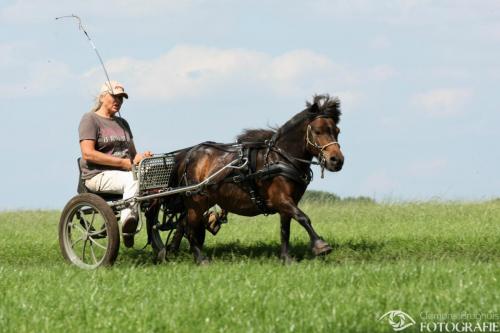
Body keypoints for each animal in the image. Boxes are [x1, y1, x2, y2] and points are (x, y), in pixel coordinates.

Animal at [174, 94, 342, 264]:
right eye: (318, 131)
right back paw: (201, 259)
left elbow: (285, 229)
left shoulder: (288, 203)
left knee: (185, 226)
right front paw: (321, 246)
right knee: (189, 229)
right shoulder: (281, 199)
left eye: (337, 131)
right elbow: (303, 218)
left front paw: (286, 258)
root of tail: (188, 155)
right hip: (195, 203)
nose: (337, 160)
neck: (280, 159)